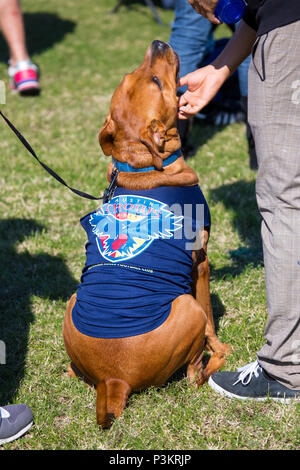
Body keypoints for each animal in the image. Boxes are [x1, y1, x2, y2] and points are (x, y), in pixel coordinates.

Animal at [63, 41, 230, 430]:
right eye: (156, 80)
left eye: (132, 74)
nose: (158, 42)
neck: (141, 166)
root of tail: (113, 379)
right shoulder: (201, 264)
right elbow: (212, 322)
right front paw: (218, 345)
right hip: (187, 309)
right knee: (194, 374)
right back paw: (218, 360)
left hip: (70, 303)